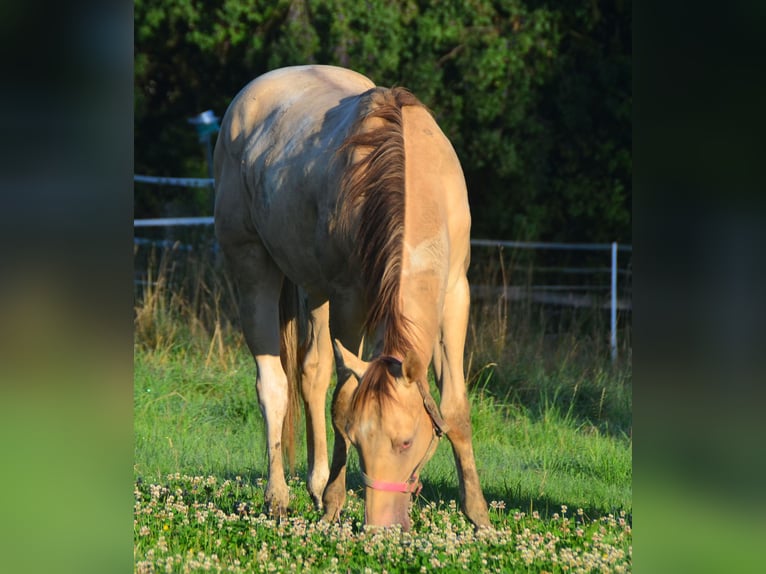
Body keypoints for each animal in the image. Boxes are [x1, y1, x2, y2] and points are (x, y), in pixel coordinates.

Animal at [214, 66, 492, 532]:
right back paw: (280, 497)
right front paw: (333, 503)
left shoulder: (455, 295)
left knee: (311, 373)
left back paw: (314, 483)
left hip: (314, 288)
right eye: (359, 439)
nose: (380, 527)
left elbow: (454, 407)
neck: (412, 178)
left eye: (406, 442)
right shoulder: (351, 301)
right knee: (274, 385)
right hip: (252, 266)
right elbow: (342, 400)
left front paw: (479, 515)